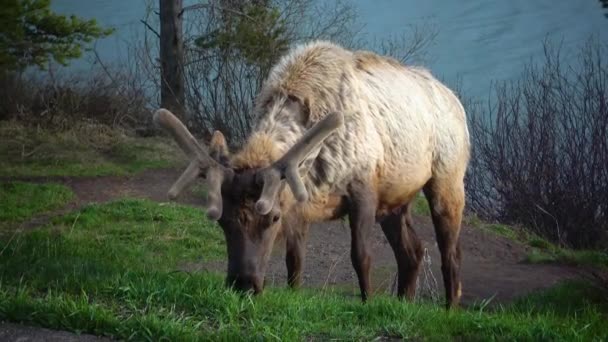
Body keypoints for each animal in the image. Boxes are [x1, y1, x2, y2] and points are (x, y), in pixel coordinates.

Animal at [153, 40, 470, 310]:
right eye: (221, 220)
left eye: (273, 218)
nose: (244, 285)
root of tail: (456, 101)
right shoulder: (299, 203)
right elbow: (295, 261)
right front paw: (294, 294)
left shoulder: (363, 189)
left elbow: (361, 256)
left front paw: (367, 303)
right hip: (395, 198)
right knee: (412, 252)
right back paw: (405, 303)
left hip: (448, 178)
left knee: (451, 254)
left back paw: (449, 310)